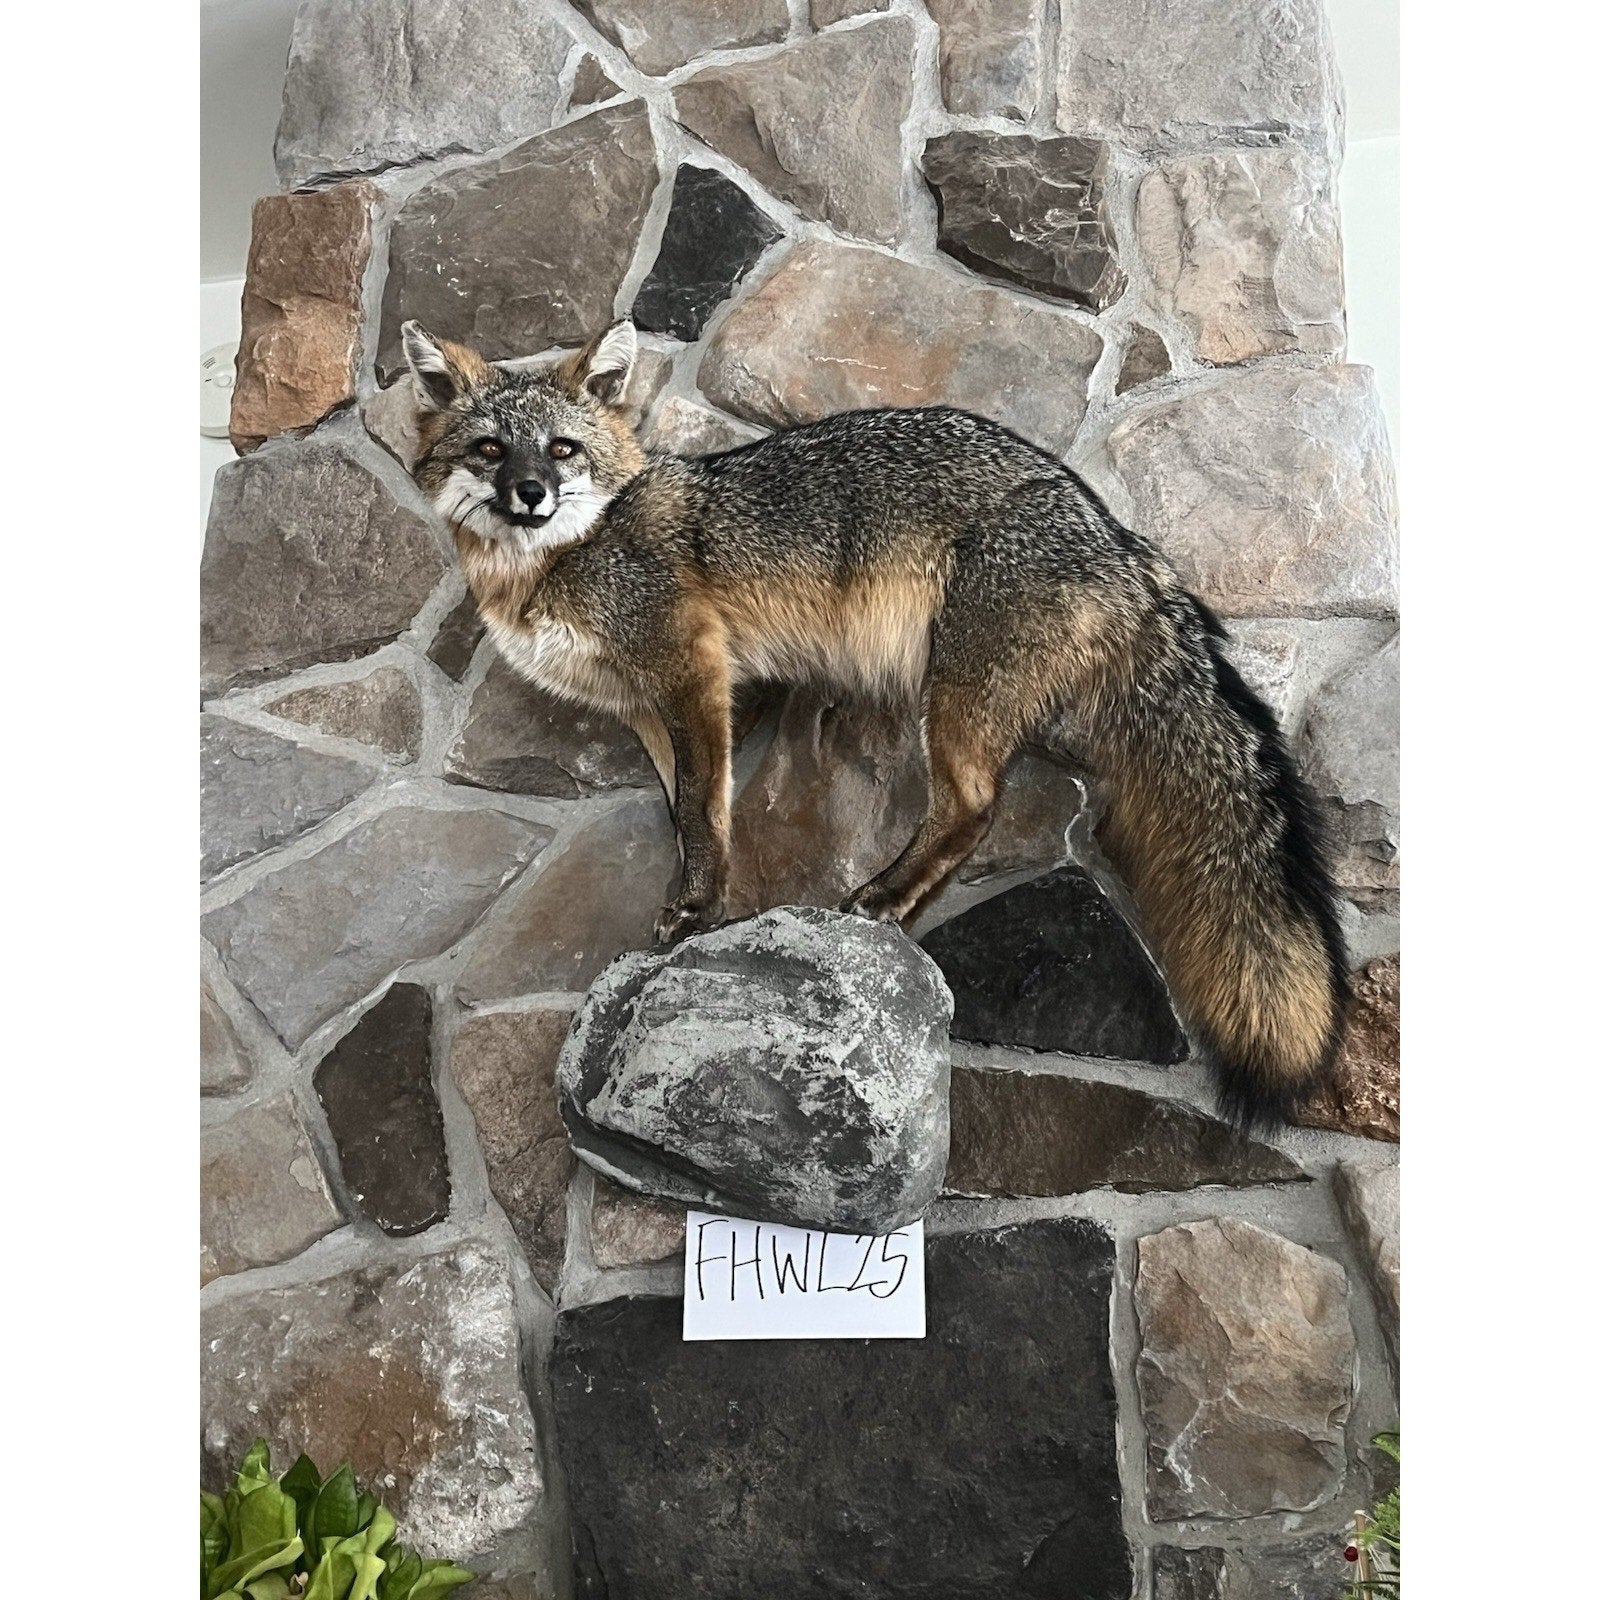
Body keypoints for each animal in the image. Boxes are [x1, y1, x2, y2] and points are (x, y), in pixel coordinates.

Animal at [398, 315, 1348, 1129]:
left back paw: (883, 898)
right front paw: (709, 904)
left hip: (950, 699)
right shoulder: (651, 709)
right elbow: (686, 810)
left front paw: (696, 905)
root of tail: (1118, 533)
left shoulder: (694, 672)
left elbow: (704, 805)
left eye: (562, 449)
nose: (531, 492)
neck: (559, 561)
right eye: (491, 449)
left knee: (972, 806)